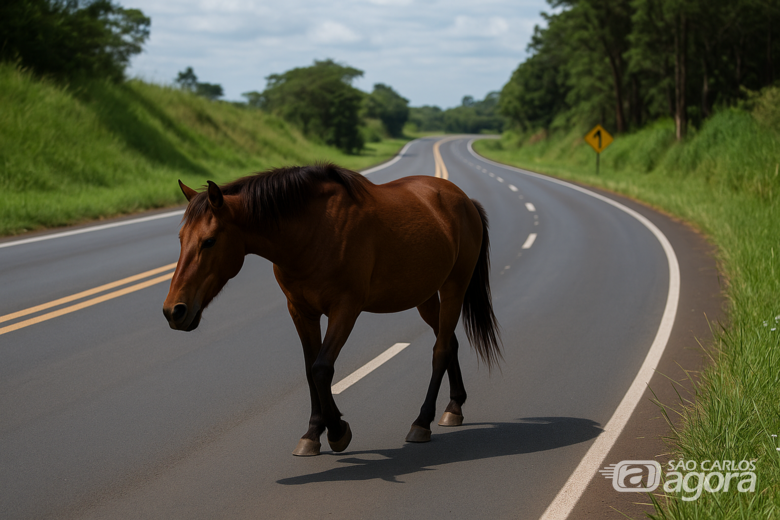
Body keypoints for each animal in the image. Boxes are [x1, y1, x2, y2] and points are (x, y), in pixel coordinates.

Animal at [163, 163, 501, 456]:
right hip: (425, 295)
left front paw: (338, 431)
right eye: (180, 238)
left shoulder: (345, 309)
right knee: (449, 342)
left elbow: (322, 368)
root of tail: (464, 200)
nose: (174, 311)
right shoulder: (301, 312)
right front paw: (313, 433)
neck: (313, 230)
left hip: (454, 287)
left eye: (209, 241)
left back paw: (422, 422)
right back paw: (454, 406)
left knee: (440, 350)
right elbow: (309, 369)